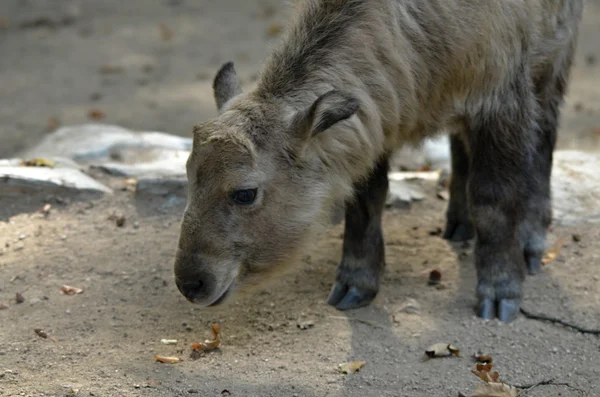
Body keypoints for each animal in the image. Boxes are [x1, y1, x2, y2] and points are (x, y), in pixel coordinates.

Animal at [172, 0, 580, 322]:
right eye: (189, 175)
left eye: (245, 193)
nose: (190, 283)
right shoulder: (378, 121)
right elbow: (366, 202)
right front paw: (356, 285)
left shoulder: (502, 101)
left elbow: (493, 200)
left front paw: (500, 292)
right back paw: (459, 224)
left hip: (552, 67)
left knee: (543, 143)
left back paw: (530, 241)